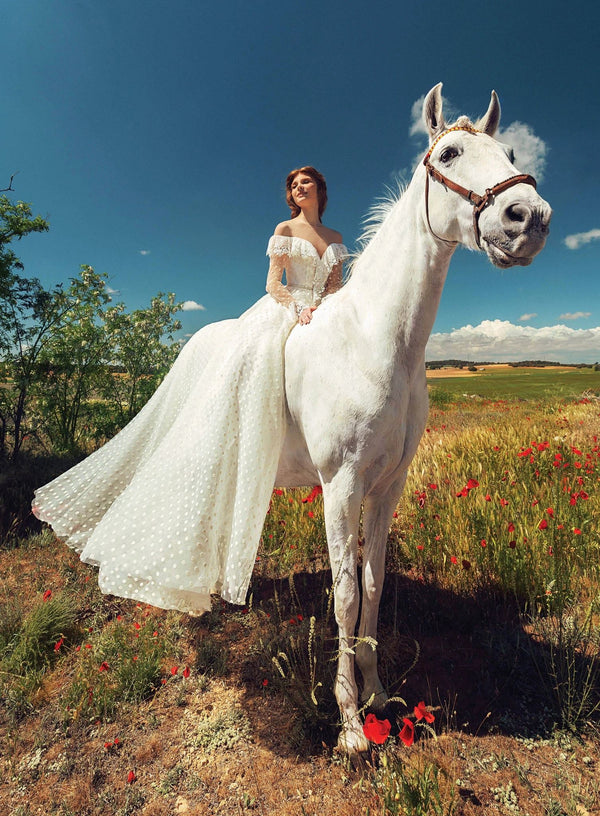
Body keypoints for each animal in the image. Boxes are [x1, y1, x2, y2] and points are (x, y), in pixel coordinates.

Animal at [274, 86, 552, 756]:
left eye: (511, 153)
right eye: (448, 153)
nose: (529, 217)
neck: (378, 342)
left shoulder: (387, 486)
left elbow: (374, 586)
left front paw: (377, 695)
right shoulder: (340, 489)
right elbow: (345, 593)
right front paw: (351, 725)